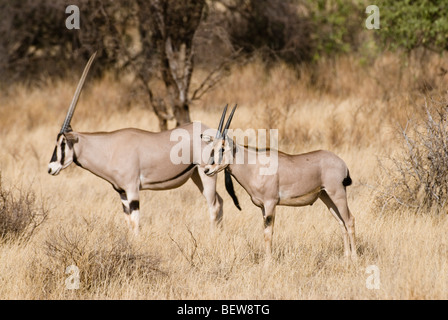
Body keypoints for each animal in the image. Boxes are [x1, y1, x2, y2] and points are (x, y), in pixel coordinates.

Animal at [48, 52, 223, 232]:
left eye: (62, 143)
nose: (51, 168)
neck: (108, 149)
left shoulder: (132, 189)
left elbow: (136, 221)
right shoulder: (122, 193)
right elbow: (129, 222)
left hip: (207, 174)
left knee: (214, 205)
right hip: (197, 175)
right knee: (220, 202)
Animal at [203, 106, 356, 262]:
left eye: (222, 148)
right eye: (212, 148)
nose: (207, 170)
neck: (254, 165)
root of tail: (342, 163)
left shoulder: (271, 203)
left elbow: (268, 233)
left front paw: (268, 262)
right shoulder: (263, 207)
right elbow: (266, 232)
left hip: (337, 194)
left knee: (349, 220)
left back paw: (354, 258)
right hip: (326, 197)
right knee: (341, 222)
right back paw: (346, 257)